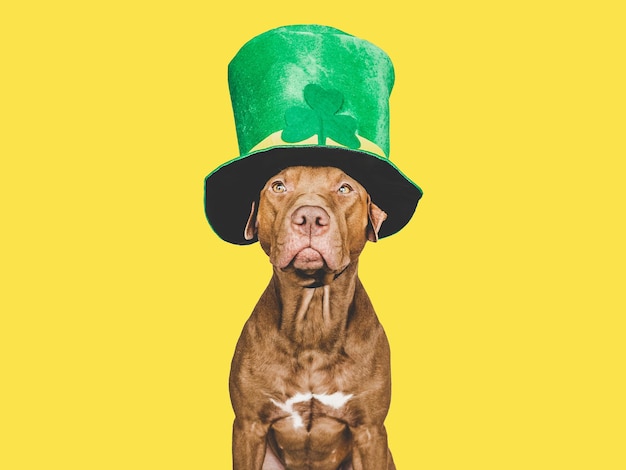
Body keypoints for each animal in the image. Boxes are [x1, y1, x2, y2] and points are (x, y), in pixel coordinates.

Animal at [229, 166, 394, 470]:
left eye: (344, 188)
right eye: (278, 186)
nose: (309, 218)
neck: (313, 322)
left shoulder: (369, 431)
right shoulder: (249, 426)